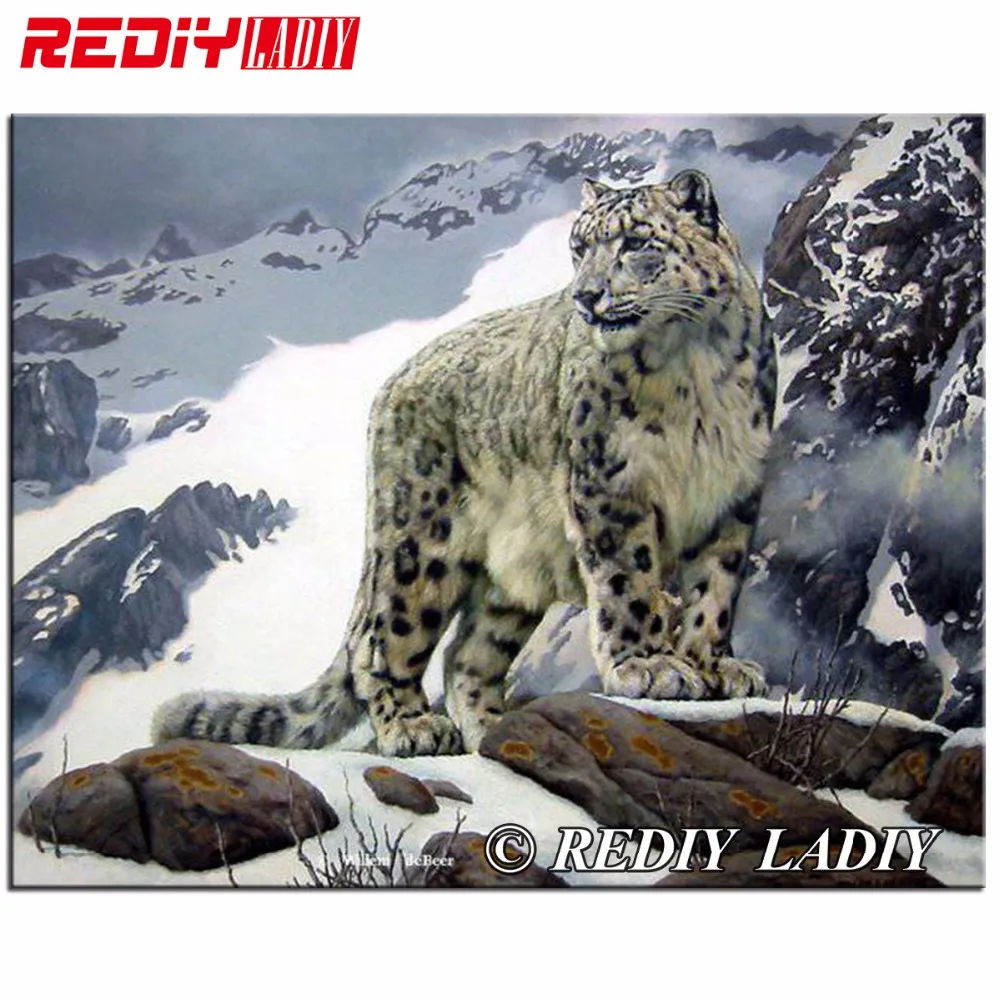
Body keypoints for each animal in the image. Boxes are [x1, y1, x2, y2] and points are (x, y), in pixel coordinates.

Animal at [153, 169, 776, 758]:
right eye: (579, 248)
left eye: (636, 242)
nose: (586, 296)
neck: (691, 364)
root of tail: (390, 387)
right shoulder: (610, 484)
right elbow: (629, 581)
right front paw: (647, 665)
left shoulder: (734, 491)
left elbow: (716, 588)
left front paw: (715, 666)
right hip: (419, 544)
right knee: (384, 640)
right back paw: (413, 727)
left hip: (511, 577)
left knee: (465, 657)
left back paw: (498, 729)